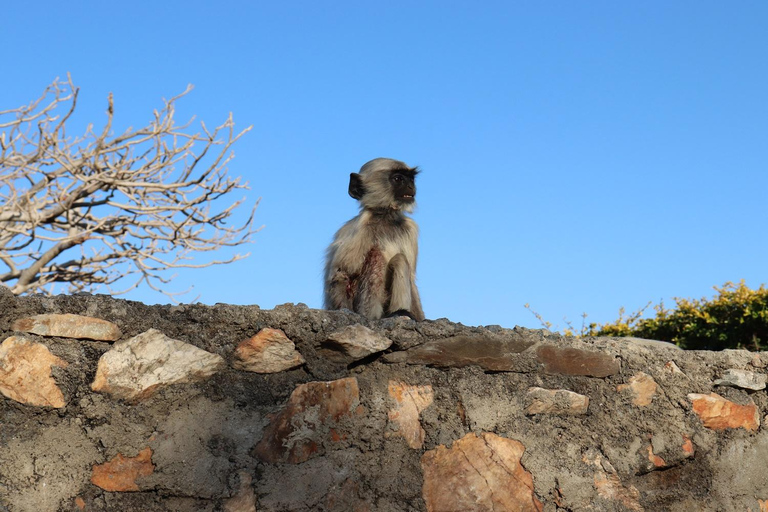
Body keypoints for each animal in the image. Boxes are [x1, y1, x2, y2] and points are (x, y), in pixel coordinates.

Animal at [320, 158, 424, 322]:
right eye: (398, 179)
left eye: (411, 179)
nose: (410, 186)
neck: (386, 218)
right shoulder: (360, 229)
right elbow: (341, 273)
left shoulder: (410, 228)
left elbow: (412, 278)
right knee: (378, 255)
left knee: (400, 260)